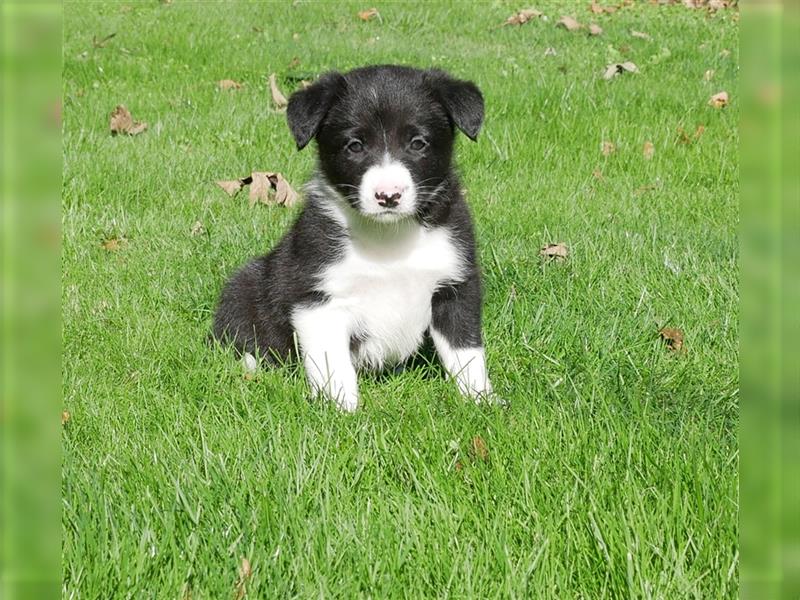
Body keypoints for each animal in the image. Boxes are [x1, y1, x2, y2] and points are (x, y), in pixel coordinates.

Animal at [212, 67, 494, 412]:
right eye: (355, 146)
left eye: (417, 143)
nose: (388, 196)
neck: (389, 238)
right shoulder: (317, 299)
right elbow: (333, 364)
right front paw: (341, 411)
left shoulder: (455, 286)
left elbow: (467, 351)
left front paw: (481, 401)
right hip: (243, 287)